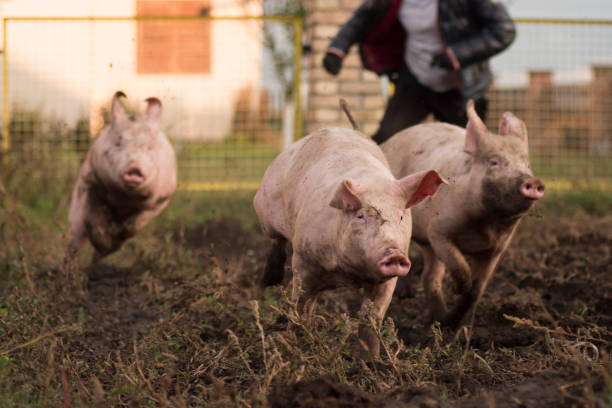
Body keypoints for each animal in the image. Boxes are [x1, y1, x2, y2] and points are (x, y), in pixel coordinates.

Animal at [66, 91, 178, 266]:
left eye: (149, 147)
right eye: (119, 142)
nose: (135, 168)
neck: (124, 197)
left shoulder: (161, 200)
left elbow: (134, 225)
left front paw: (114, 238)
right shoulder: (90, 182)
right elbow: (92, 218)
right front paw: (102, 243)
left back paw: (99, 258)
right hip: (75, 208)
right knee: (75, 237)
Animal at [253, 126, 444, 352]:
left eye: (400, 217)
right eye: (360, 216)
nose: (394, 254)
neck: (347, 273)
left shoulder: (387, 282)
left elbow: (371, 320)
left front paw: (370, 358)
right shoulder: (303, 259)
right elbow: (299, 305)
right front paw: (294, 347)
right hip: (265, 208)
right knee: (276, 240)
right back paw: (268, 283)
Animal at [382, 99, 544, 328]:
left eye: (527, 164)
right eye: (494, 162)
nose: (533, 181)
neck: (486, 224)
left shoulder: (495, 249)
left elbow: (476, 291)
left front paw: (456, 326)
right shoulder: (438, 230)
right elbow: (458, 264)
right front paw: (460, 288)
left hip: (429, 247)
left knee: (429, 277)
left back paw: (439, 320)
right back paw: (408, 296)